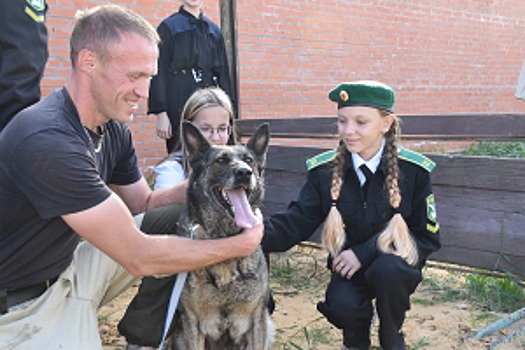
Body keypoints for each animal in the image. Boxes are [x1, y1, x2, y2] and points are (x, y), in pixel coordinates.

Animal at [172, 121, 274, 348]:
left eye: (249, 160)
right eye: (221, 160)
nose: (245, 173)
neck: (226, 237)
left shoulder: (258, 320)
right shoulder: (191, 323)